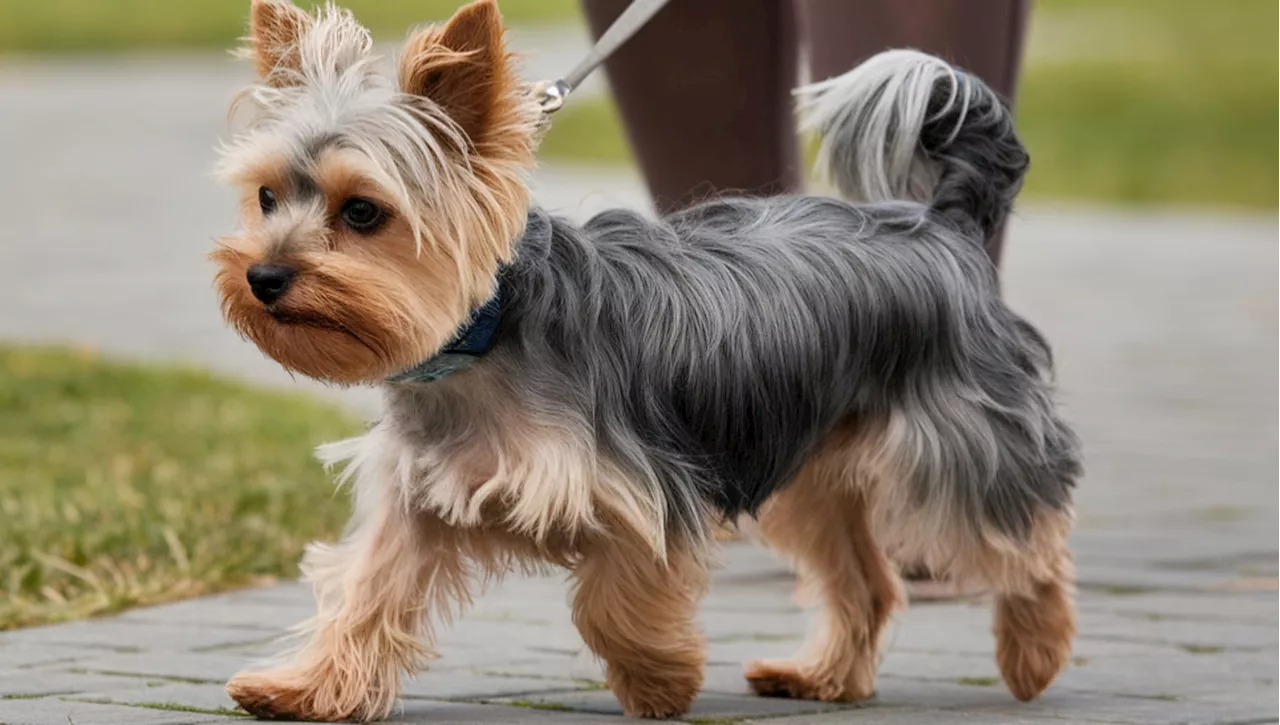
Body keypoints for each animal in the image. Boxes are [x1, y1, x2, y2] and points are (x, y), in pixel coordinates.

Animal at [207, 2, 1080, 722]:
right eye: (267, 199)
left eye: (363, 212)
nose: (263, 277)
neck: (482, 340)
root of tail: (944, 226)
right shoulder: (416, 500)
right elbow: (365, 591)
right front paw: (307, 687)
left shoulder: (641, 490)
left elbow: (610, 601)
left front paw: (661, 680)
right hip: (813, 473)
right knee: (868, 581)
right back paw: (822, 676)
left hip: (960, 445)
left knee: (1026, 542)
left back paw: (1035, 654)